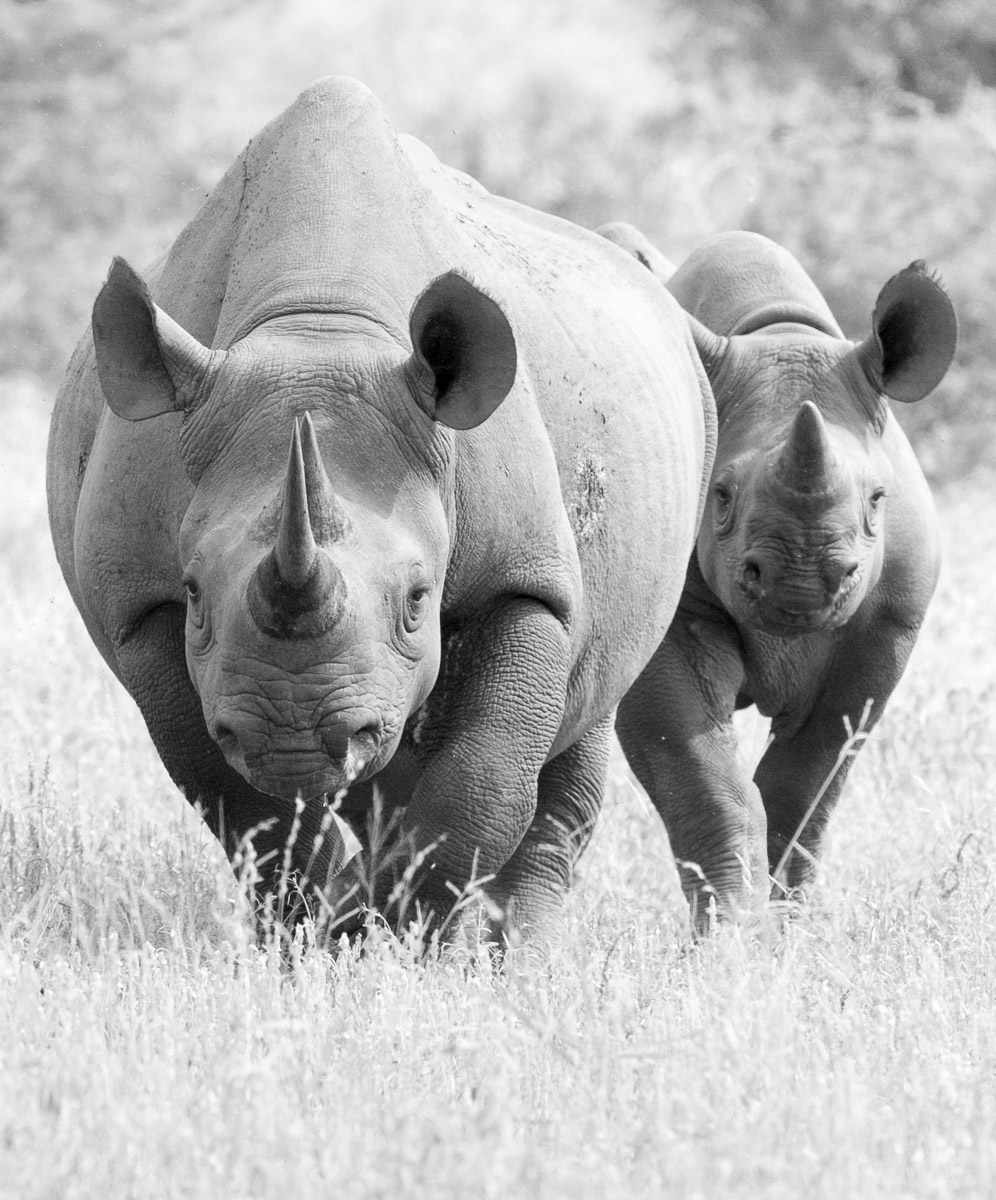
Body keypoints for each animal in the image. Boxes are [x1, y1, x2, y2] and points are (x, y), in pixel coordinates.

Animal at [47, 78, 714, 942]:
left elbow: (484, 777)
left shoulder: (527, 580)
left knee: (581, 722)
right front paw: (321, 929)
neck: (318, 323)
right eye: (194, 593)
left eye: (418, 599)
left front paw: (412, 930)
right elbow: (241, 803)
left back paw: (514, 949)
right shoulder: (141, 606)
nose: (293, 736)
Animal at [600, 223, 956, 929]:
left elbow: (805, 783)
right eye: (720, 496)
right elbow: (705, 777)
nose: (803, 580)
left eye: (879, 500)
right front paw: (729, 932)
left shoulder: (884, 627)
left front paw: (788, 930)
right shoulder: (670, 619)